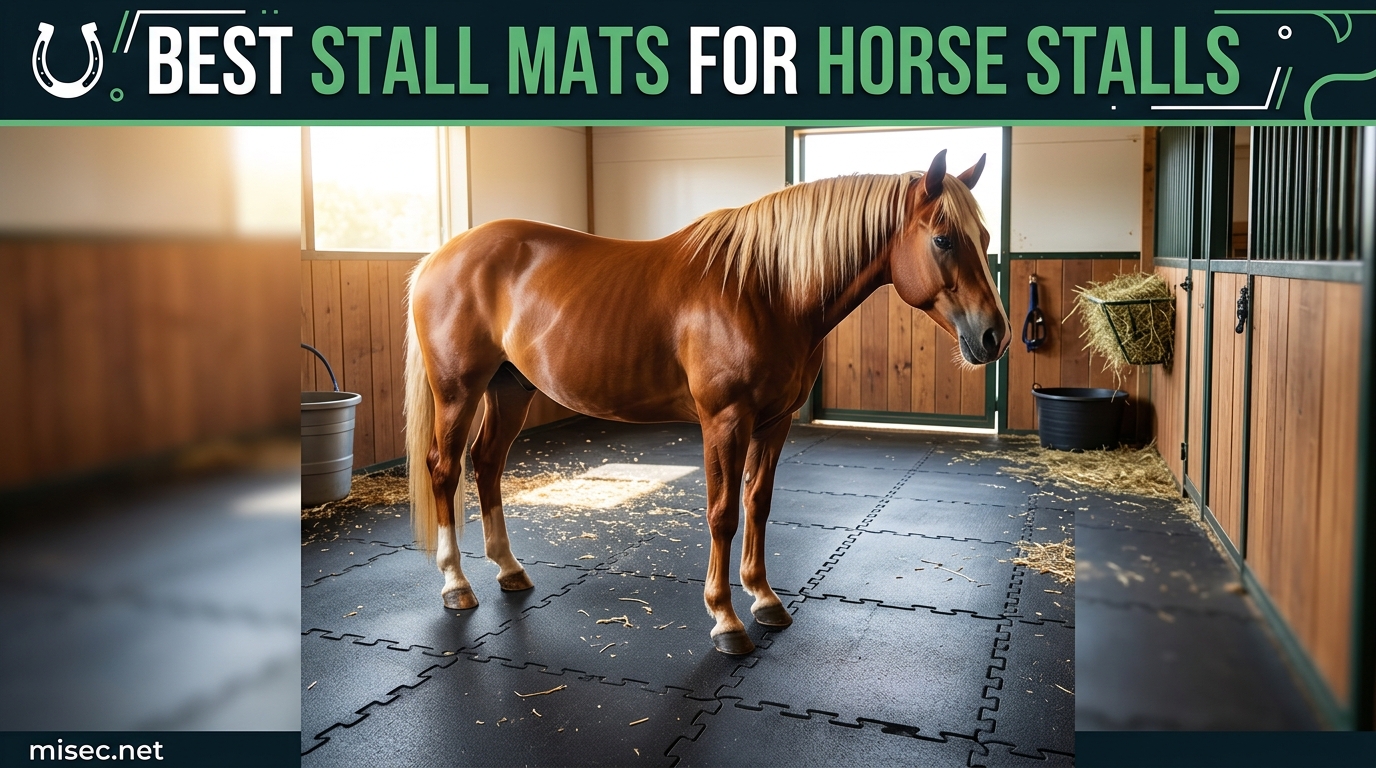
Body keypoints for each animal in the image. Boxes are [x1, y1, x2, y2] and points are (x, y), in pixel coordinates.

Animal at [403, 149, 1010, 655]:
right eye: (943, 239)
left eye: (984, 236)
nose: (995, 336)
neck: (764, 289)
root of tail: (440, 255)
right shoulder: (725, 421)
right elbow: (722, 513)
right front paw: (725, 619)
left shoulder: (774, 422)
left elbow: (757, 504)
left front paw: (764, 599)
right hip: (458, 391)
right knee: (445, 470)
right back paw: (456, 584)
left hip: (510, 389)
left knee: (486, 464)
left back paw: (509, 570)